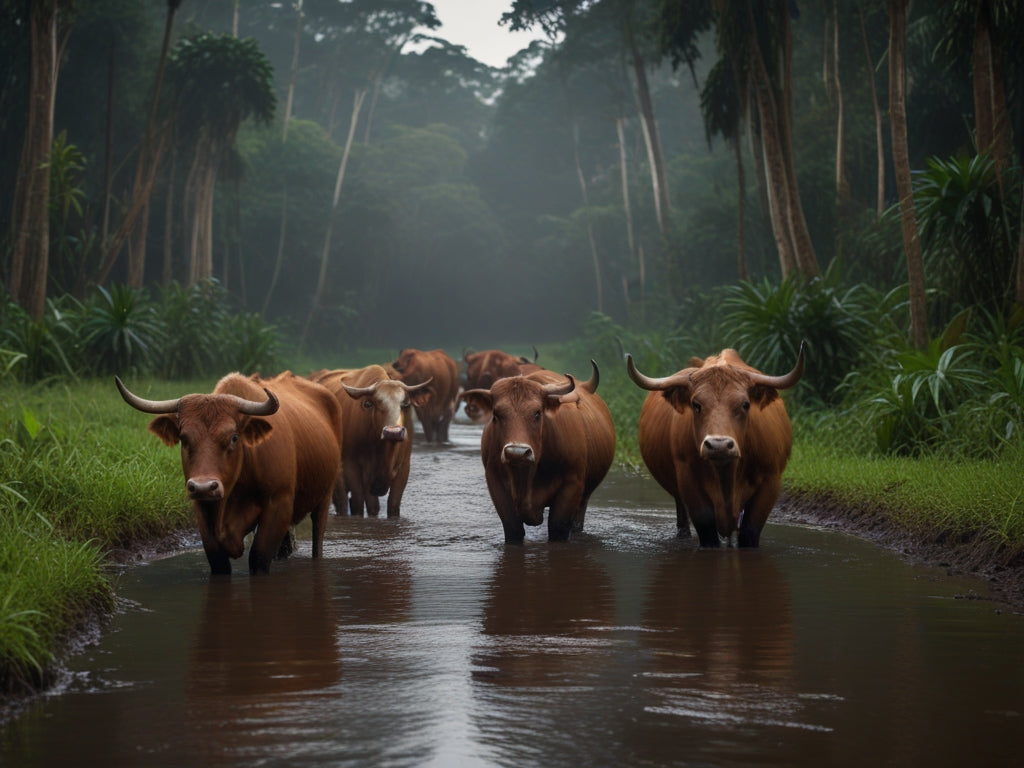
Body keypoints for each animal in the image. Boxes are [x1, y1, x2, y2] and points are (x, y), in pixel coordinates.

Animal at [114, 372, 342, 577]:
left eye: (233, 437)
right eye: (183, 438)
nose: (204, 487)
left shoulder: (279, 503)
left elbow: (258, 557)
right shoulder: (203, 511)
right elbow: (218, 561)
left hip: (325, 497)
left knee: (317, 539)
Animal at [307, 364, 428, 518]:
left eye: (405, 404)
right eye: (375, 404)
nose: (393, 432)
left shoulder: (404, 467)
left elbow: (393, 505)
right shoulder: (352, 466)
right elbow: (362, 504)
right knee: (342, 502)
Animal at [462, 364, 614, 544]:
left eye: (537, 413)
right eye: (496, 414)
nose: (517, 453)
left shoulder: (572, 485)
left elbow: (558, 528)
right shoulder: (496, 484)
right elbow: (513, 529)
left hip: (584, 497)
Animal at [622, 342, 806, 548]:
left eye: (745, 404)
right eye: (696, 404)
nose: (719, 445)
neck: (726, 474)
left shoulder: (769, 483)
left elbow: (749, 532)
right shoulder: (690, 483)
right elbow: (707, 530)